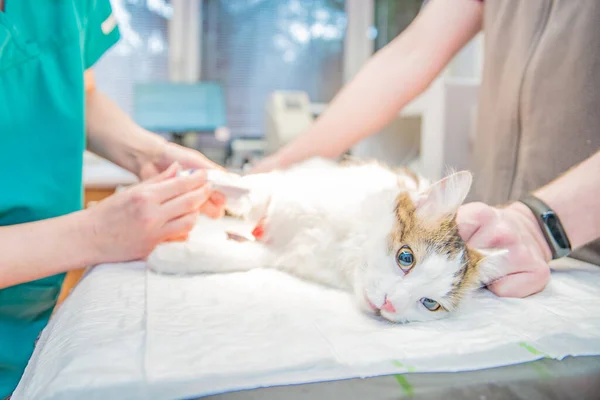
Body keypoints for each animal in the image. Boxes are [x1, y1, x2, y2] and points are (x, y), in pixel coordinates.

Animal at [148, 158, 504, 324]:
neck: (345, 245)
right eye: (406, 258)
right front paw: (182, 175)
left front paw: (170, 255)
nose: (390, 304)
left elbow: (227, 257)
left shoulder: (275, 252)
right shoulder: (279, 190)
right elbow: (233, 181)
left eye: (430, 304)